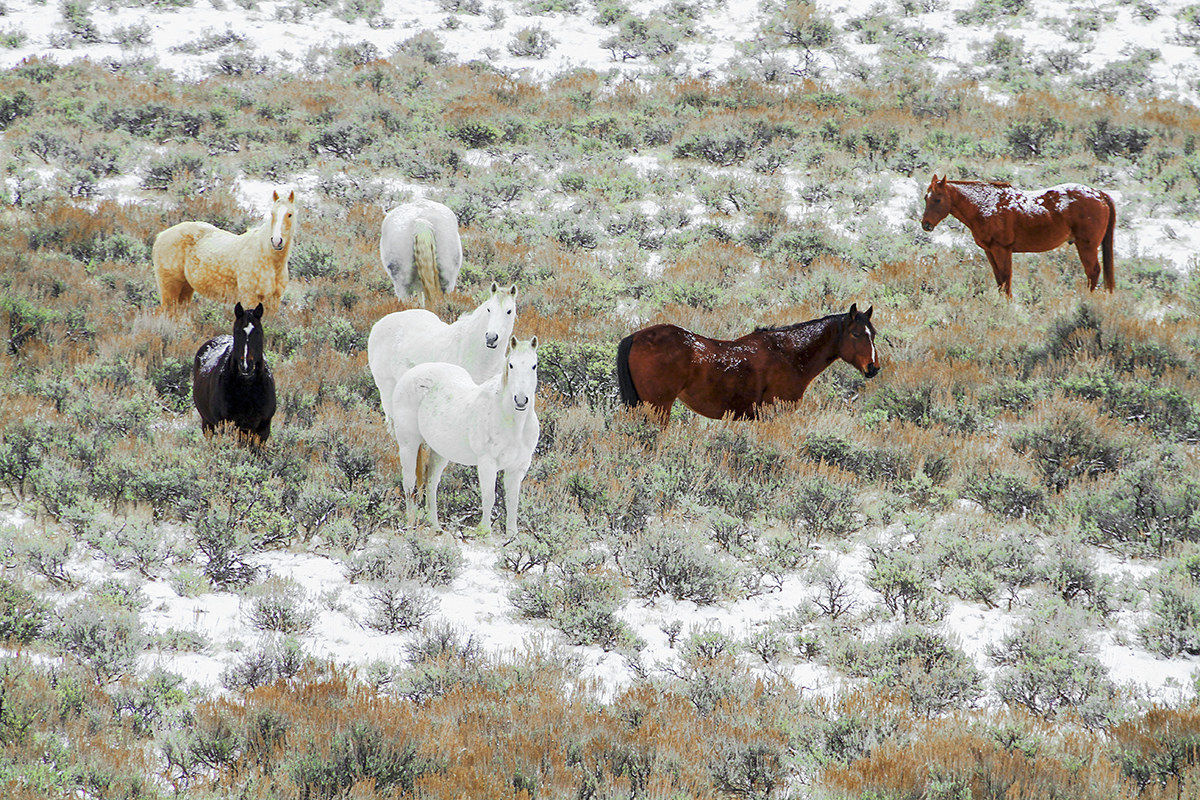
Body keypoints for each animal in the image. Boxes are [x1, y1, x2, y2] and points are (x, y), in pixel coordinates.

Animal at [153, 188, 298, 313]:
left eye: (290, 214)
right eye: (272, 214)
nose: (276, 241)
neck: (269, 260)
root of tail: (161, 235)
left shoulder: (273, 301)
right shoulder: (249, 299)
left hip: (186, 289)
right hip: (170, 290)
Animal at [192, 302, 277, 442]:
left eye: (259, 332)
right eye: (237, 331)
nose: (246, 366)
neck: (247, 388)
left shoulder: (263, 430)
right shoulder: (226, 425)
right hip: (208, 424)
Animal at [391, 336, 540, 536]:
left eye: (534, 365)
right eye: (511, 365)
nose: (521, 400)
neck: (512, 424)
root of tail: (410, 374)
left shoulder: (517, 468)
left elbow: (513, 501)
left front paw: (512, 536)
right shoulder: (487, 463)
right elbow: (489, 498)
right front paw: (485, 535)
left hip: (440, 452)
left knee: (431, 483)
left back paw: (436, 527)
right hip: (408, 445)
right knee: (409, 485)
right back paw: (410, 528)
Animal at [616, 304, 879, 423]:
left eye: (873, 333)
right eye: (856, 334)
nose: (873, 368)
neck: (788, 354)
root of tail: (636, 336)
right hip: (658, 406)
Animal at [920, 174, 1115, 297]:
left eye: (937, 199)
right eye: (925, 198)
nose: (926, 225)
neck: (985, 205)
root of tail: (1100, 194)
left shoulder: (1002, 249)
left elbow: (1006, 277)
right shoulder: (990, 251)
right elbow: (999, 278)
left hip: (1086, 245)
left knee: (1093, 271)